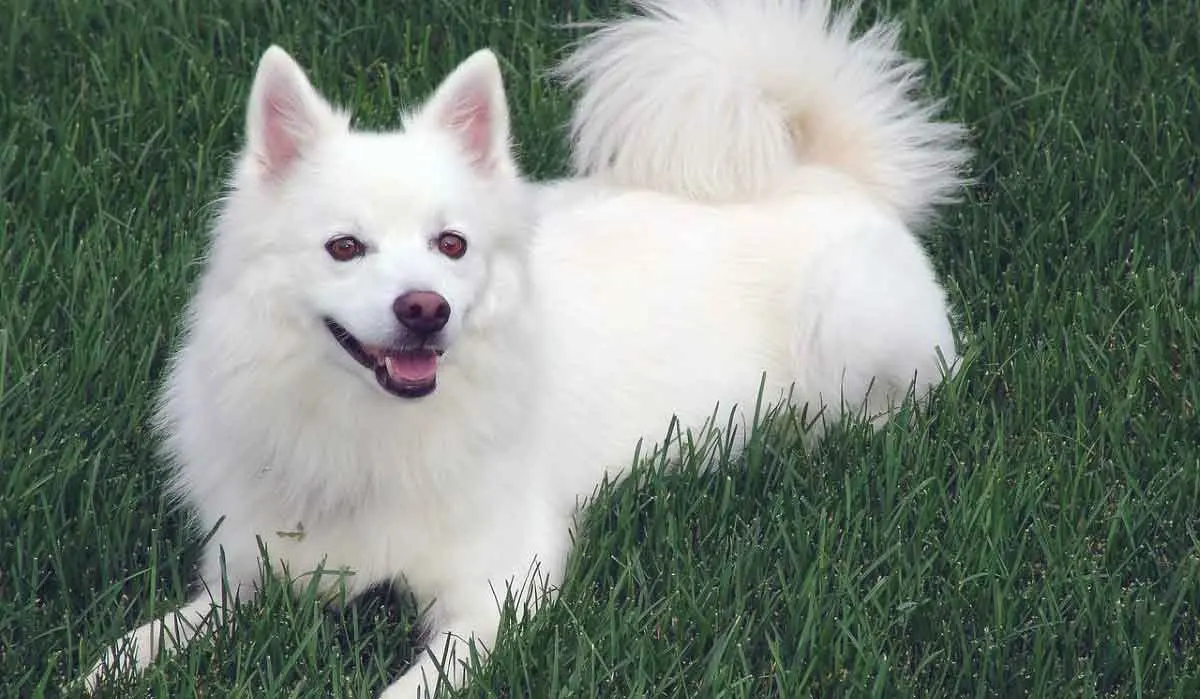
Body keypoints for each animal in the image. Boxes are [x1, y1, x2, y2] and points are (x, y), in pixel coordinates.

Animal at [82, 2, 964, 696]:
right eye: (344, 247)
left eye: (451, 244)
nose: (425, 309)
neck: (367, 430)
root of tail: (828, 173)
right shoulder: (248, 572)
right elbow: (160, 632)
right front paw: (106, 665)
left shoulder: (496, 590)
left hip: (853, 325)